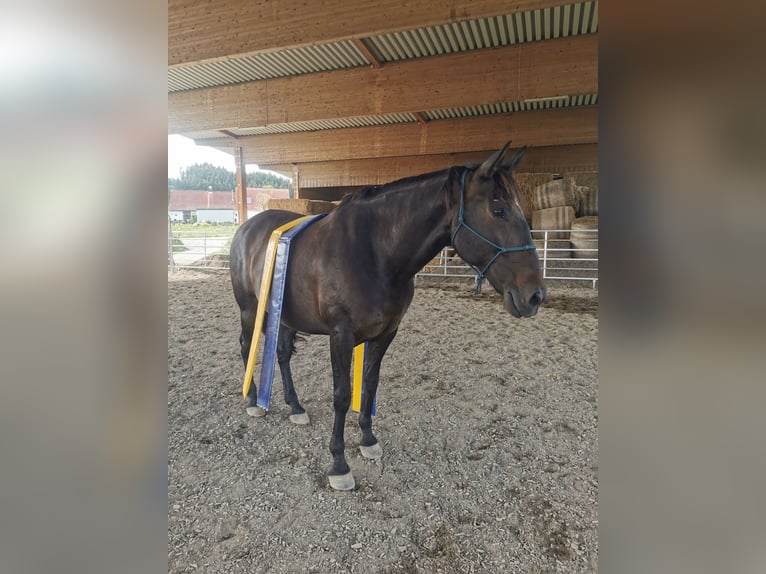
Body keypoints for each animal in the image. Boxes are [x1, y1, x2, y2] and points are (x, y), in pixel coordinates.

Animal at [228, 143, 544, 490]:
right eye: (497, 209)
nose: (535, 296)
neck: (373, 252)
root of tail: (247, 227)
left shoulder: (386, 332)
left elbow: (370, 383)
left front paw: (368, 440)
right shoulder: (341, 335)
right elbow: (342, 395)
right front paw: (339, 464)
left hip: (285, 314)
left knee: (282, 354)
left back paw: (296, 407)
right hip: (250, 308)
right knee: (246, 345)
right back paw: (252, 400)